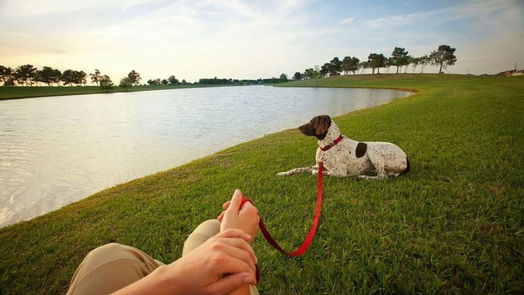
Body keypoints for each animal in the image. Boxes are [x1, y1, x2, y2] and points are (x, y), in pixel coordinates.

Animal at [276, 115, 412, 180]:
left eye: (312, 122)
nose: (298, 127)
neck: (329, 145)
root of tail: (406, 158)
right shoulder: (317, 165)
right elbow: (297, 169)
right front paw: (283, 173)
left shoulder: (339, 172)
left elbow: (319, 173)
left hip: (373, 150)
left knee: (382, 176)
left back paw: (363, 177)